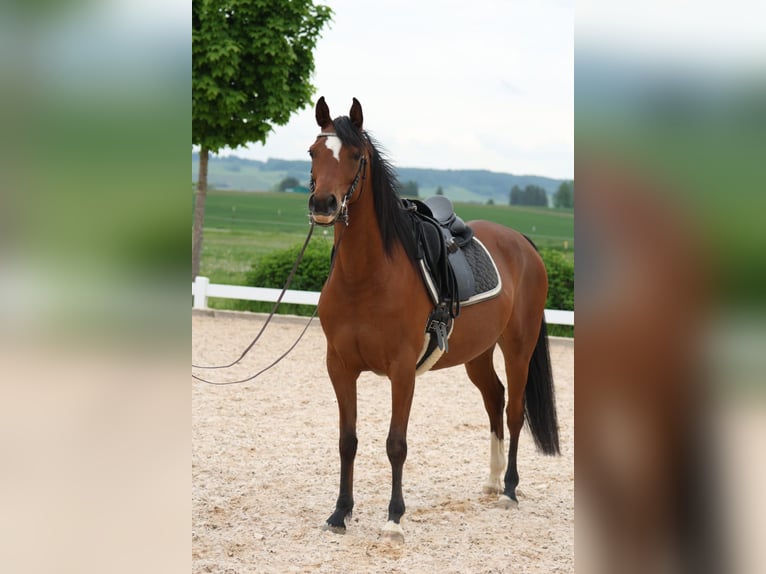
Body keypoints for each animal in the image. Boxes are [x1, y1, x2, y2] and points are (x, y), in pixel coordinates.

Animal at [308, 97, 560, 542]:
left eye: (355, 156)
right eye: (312, 152)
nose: (323, 205)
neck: (366, 276)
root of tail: (522, 243)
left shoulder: (402, 370)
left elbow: (396, 444)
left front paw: (394, 519)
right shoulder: (339, 366)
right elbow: (347, 440)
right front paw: (340, 513)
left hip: (518, 347)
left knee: (513, 411)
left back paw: (509, 490)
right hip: (477, 353)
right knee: (494, 399)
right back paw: (492, 480)